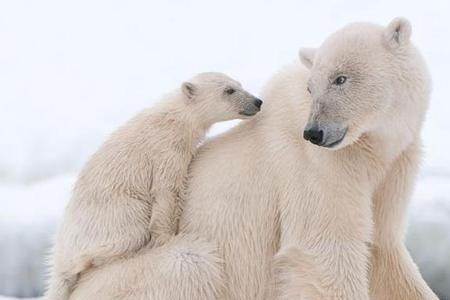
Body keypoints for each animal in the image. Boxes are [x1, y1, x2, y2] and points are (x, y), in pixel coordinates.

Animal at [69, 18, 436, 300]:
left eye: (340, 78)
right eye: (311, 87)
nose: (314, 133)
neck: (369, 146)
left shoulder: (393, 166)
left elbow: (383, 248)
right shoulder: (316, 168)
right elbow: (323, 250)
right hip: (133, 275)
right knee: (190, 261)